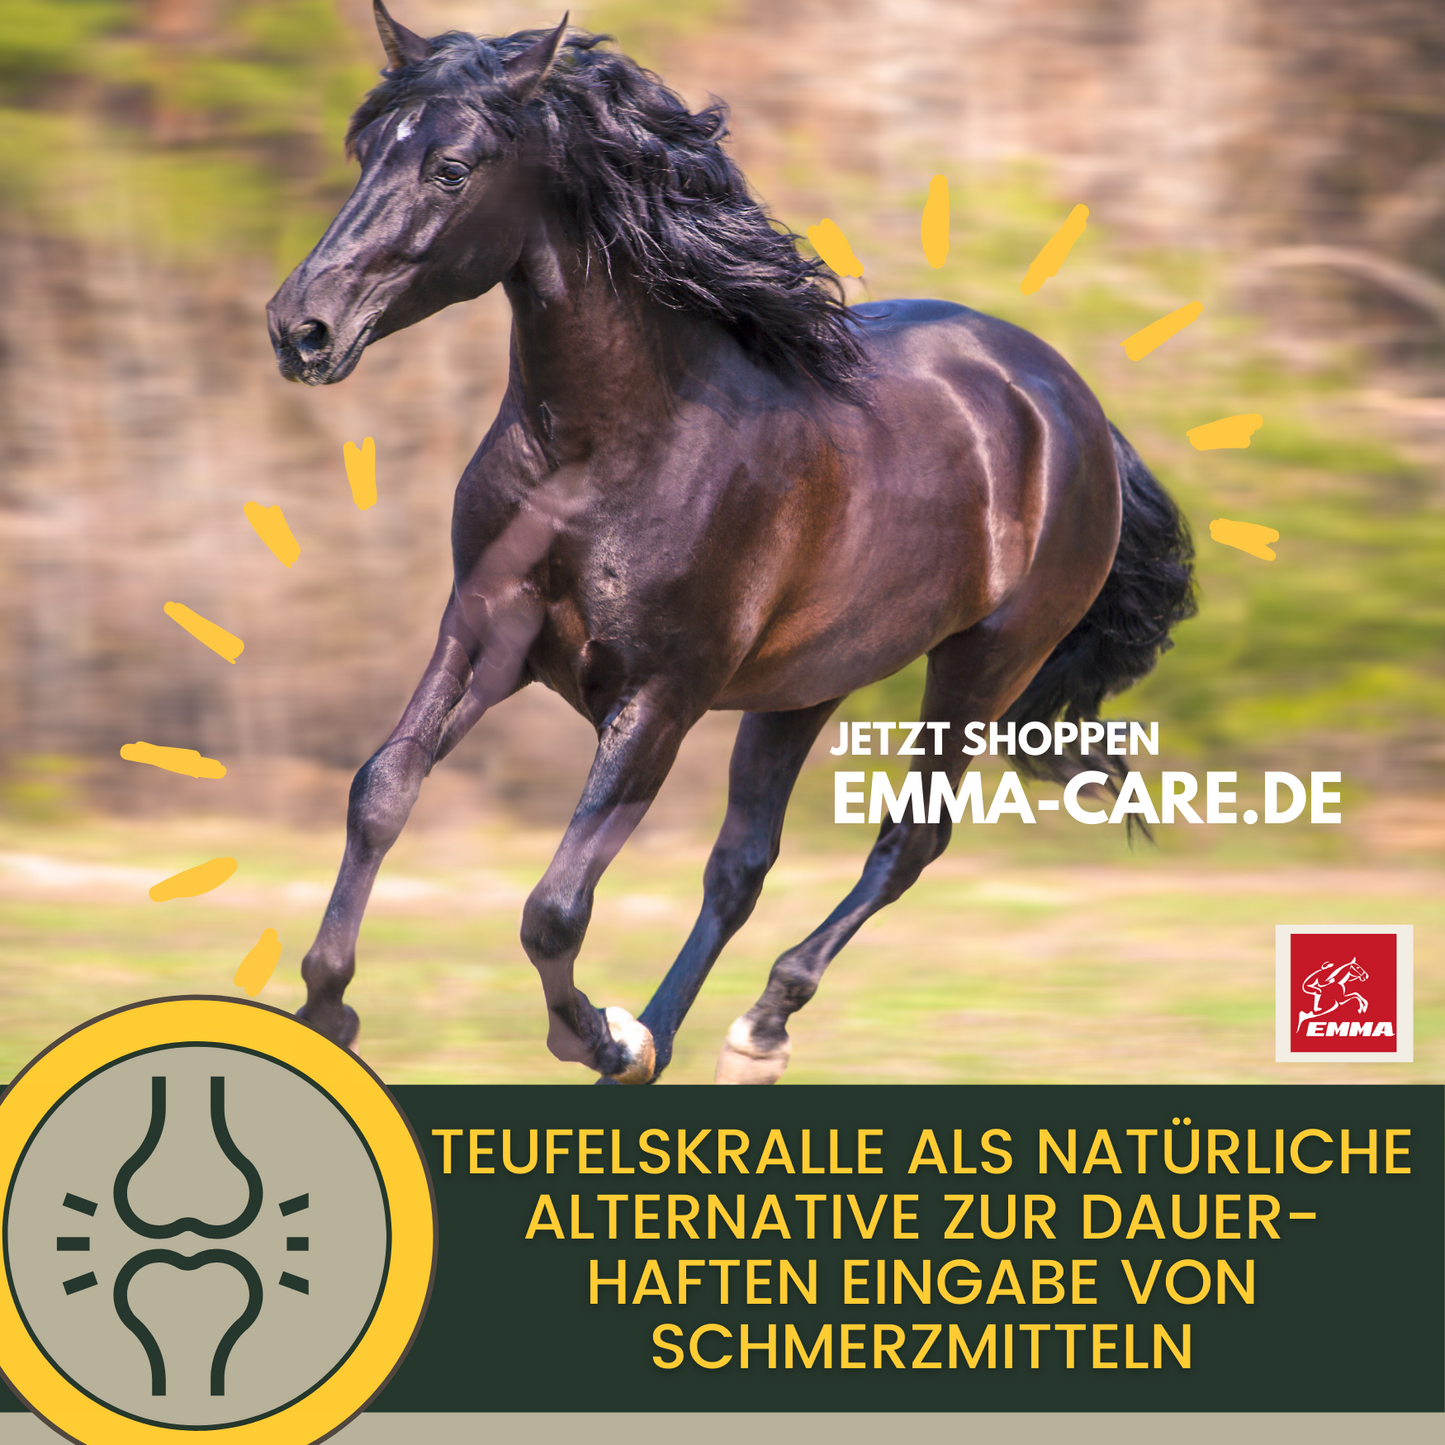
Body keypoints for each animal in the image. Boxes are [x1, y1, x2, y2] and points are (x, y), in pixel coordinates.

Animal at [265, 4, 1196, 1085]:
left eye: (451, 168)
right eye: (366, 148)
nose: (300, 328)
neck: (606, 445)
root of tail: (1068, 400)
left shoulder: (660, 692)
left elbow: (554, 905)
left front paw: (593, 1031)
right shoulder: (484, 631)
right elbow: (382, 788)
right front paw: (327, 1007)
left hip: (983, 664)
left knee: (907, 841)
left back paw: (749, 1028)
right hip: (806, 682)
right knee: (742, 861)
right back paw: (676, 1039)